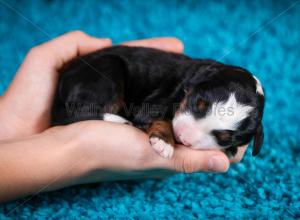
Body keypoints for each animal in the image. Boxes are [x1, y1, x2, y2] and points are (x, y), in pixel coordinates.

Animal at [51, 46, 264, 158]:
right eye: (197, 103)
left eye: (224, 138)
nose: (182, 137)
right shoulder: (155, 102)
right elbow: (162, 119)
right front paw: (164, 143)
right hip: (106, 72)